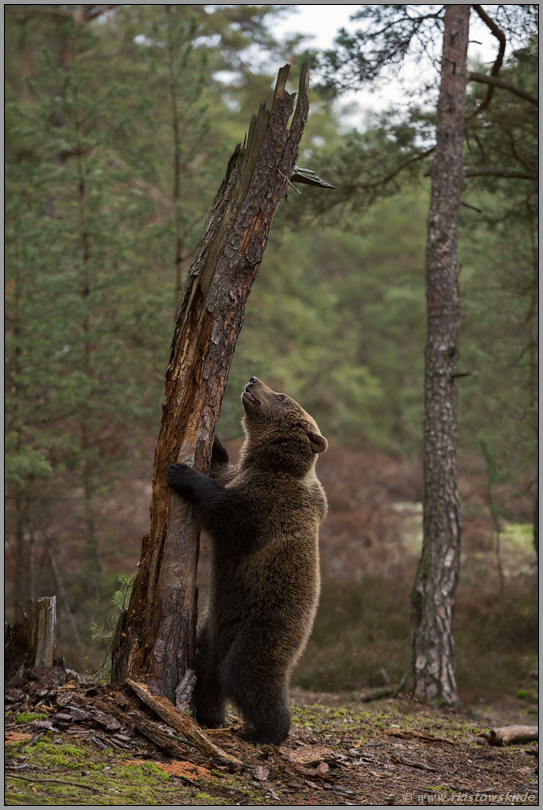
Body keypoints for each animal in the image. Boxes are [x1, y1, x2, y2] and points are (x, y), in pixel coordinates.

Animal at [166, 376, 328, 740]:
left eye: (281, 396)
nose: (254, 380)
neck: (270, 463)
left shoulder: (271, 505)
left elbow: (229, 518)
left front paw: (181, 472)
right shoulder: (241, 475)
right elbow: (221, 472)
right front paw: (212, 443)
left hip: (264, 627)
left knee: (247, 675)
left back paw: (267, 732)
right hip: (212, 629)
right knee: (206, 672)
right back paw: (211, 716)